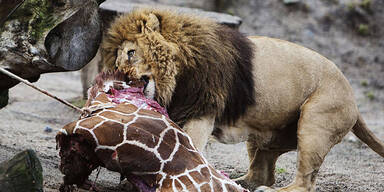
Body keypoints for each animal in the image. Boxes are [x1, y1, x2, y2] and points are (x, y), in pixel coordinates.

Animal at [100, 9, 384, 192]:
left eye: (131, 53)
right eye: (116, 62)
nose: (120, 77)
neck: (176, 76)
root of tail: (353, 98)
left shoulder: (202, 110)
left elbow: (187, 146)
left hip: (315, 123)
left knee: (304, 183)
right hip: (268, 134)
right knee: (263, 173)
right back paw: (239, 182)